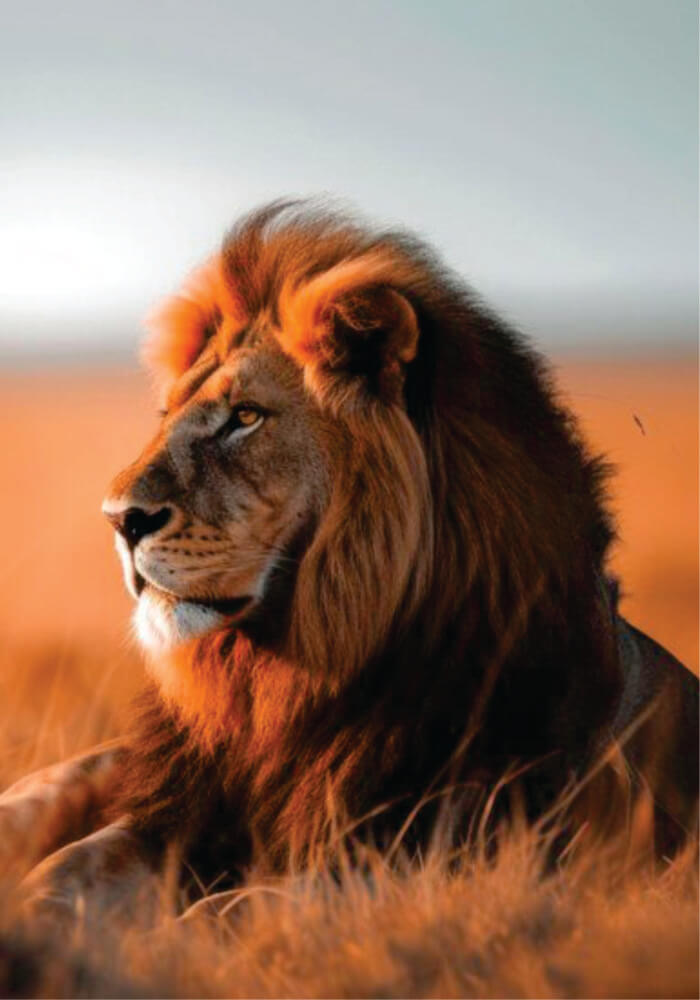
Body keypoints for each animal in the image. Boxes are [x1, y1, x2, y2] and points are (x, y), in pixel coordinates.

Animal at [9, 201, 698, 918]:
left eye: (245, 417)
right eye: (166, 414)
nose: (119, 518)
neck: (295, 681)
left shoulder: (451, 851)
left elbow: (242, 909)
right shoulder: (174, 812)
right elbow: (67, 870)